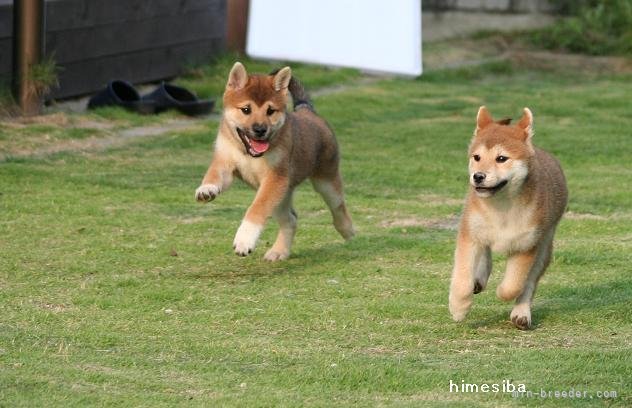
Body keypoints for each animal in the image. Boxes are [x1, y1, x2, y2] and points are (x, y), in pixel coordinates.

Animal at [195, 63, 356, 262]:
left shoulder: (274, 179)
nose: (260, 129)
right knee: (291, 219)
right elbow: (213, 175)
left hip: (325, 182)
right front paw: (206, 189)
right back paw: (279, 251)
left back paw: (349, 233)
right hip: (282, 197)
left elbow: (257, 209)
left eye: (270, 111)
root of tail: (307, 111)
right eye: (246, 109)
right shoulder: (225, 162)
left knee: (339, 207)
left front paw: (244, 239)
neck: (249, 154)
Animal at [450, 107, 568, 330]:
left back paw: (521, 313)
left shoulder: (526, 244)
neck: (501, 207)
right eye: (476, 157)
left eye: (501, 158)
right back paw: (479, 279)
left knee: (529, 282)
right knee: (485, 254)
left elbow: (513, 285)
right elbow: (462, 277)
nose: (478, 176)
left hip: (544, 247)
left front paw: (502, 293)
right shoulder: (470, 234)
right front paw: (459, 308)